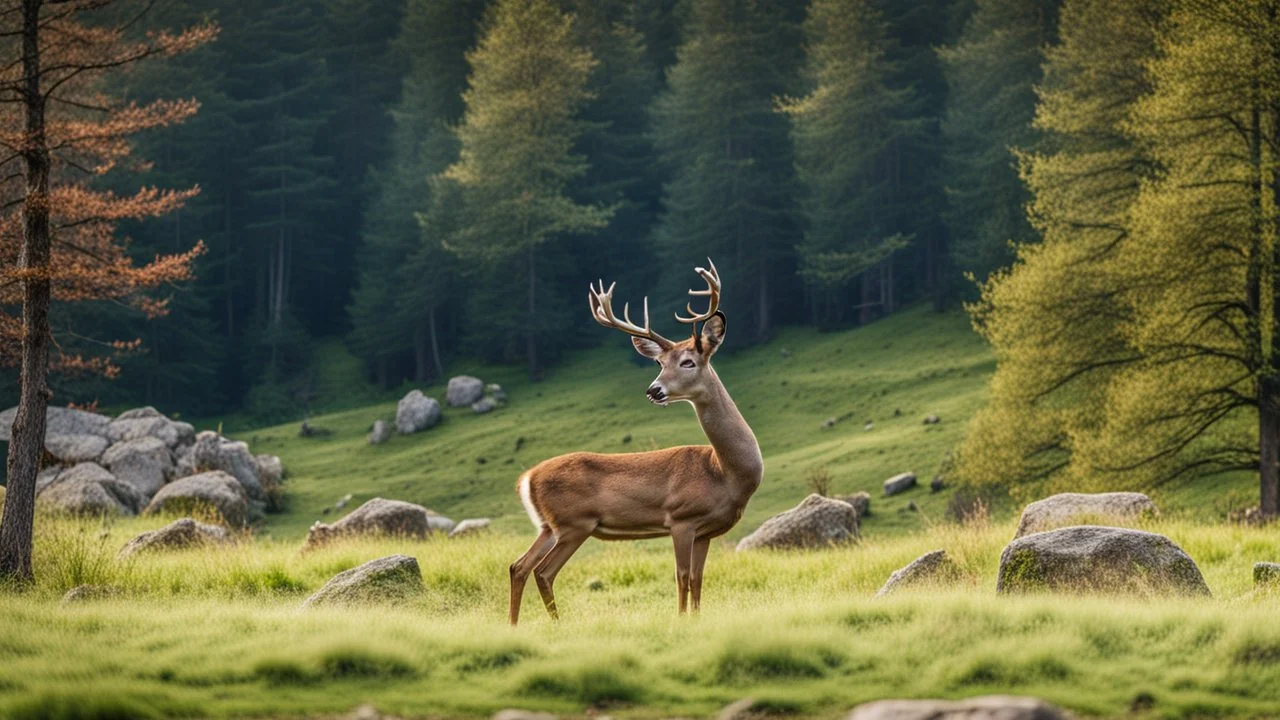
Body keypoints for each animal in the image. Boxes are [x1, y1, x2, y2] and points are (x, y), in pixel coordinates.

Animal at [506, 258, 757, 622]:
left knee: (518, 566)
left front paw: (696, 620)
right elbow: (682, 576)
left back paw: (513, 625)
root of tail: (527, 479)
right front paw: (681, 620)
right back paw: (555, 622)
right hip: (573, 523)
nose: (654, 390)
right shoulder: (680, 518)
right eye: (659, 362)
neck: (724, 473)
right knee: (543, 571)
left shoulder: (706, 531)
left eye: (687, 361)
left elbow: (698, 579)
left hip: (548, 527)